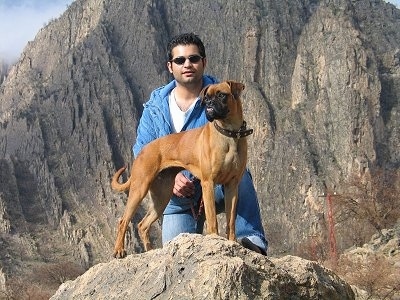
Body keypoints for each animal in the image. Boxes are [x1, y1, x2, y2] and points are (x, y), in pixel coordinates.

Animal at [110, 80, 253, 258]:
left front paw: (232, 241)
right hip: (139, 189)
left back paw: (150, 251)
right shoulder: (208, 183)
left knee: (142, 225)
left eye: (221, 95)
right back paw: (119, 250)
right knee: (123, 221)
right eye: (206, 98)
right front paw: (214, 238)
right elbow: (212, 218)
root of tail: (143, 150)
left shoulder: (232, 186)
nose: (209, 104)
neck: (229, 133)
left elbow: (231, 219)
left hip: (162, 196)